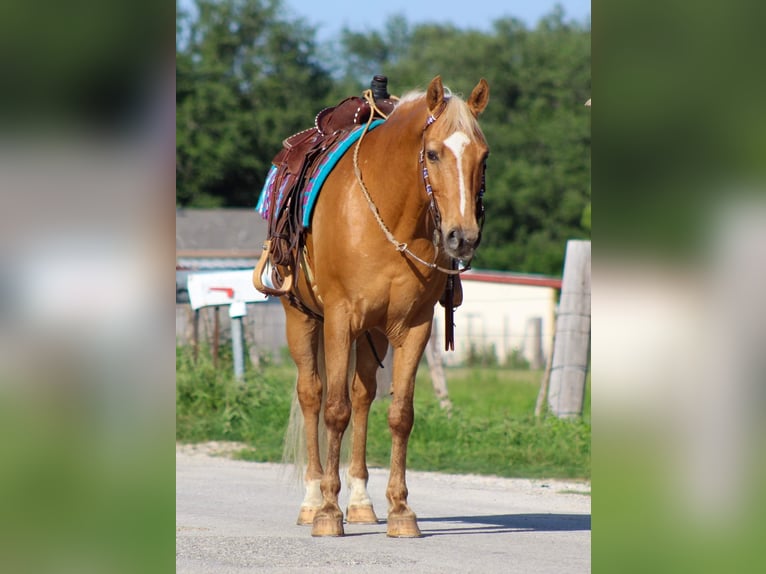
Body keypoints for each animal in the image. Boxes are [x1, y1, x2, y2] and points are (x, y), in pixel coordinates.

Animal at [268, 77, 488, 540]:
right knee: (312, 395)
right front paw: (328, 513)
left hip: (372, 336)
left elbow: (400, 414)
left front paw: (401, 510)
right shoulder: (339, 320)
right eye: (433, 153)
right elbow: (334, 412)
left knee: (363, 395)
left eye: (484, 155)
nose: (462, 237)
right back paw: (312, 500)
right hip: (302, 320)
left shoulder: (414, 327)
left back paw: (361, 503)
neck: (389, 214)